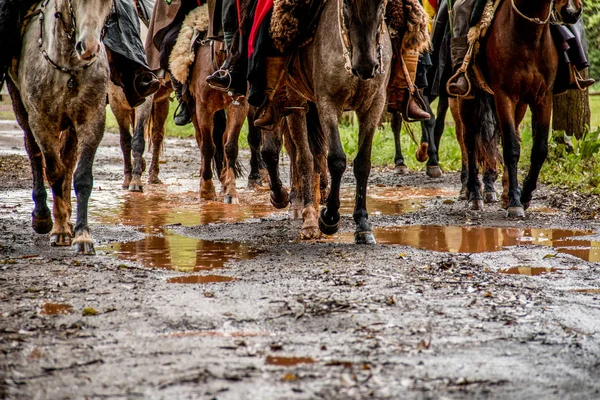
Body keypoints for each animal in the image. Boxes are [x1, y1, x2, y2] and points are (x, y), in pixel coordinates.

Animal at [7, 0, 114, 255]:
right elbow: (54, 171)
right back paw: (43, 216)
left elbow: (80, 176)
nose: (89, 47)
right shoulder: (41, 120)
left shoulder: (91, 119)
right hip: (20, 107)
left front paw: (82, 235)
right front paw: (59, 229)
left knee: (68, 160)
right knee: (34, 152)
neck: (69, 67)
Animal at [282, 0, 394, 244]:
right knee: (305, 158)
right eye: (348, 5)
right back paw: (309, 219)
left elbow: (362, 163)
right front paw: (329, 217)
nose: (366, 66)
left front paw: (362, 224)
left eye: (381, 4)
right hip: (296, 101)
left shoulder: (374, 105)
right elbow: (336, 159)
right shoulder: (327, 103)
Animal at [460, 0, 580, 217]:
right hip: (467, 98)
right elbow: (511, 148)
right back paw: (475, 195)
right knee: (469, 141)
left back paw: (505, 193)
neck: (528, 34)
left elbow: (539, 149)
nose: (571, 11)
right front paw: (516, 202)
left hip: (521, 105)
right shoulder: (504, 95)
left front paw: (524, 196)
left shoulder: (543, 98)